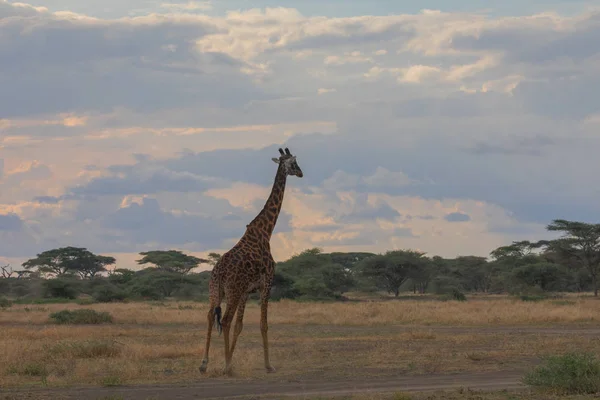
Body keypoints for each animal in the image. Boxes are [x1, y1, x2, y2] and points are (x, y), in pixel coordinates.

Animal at [200, 146, 304, 376]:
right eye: (293, 163)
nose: (301, 173)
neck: (266, 232)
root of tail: (219, 272)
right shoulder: (266, 284)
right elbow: (263, 325)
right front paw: (268, 365)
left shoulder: (247, 291)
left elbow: (240, 326)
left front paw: (229, 358)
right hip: (232, 291)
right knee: (225, 320)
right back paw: (227, 368)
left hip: (216, 290)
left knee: (211, 316)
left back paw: (204, 364)